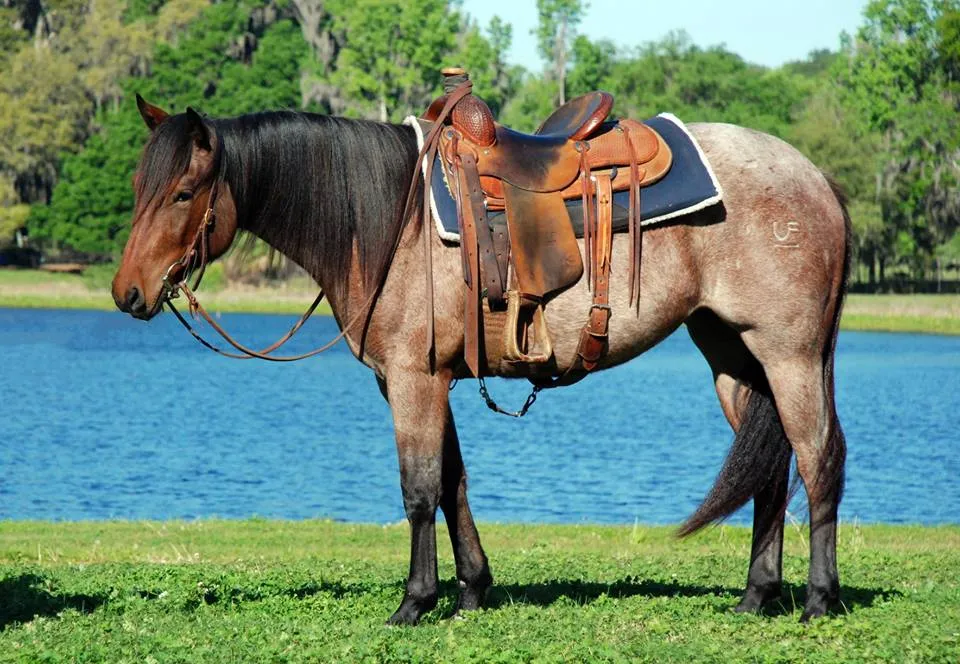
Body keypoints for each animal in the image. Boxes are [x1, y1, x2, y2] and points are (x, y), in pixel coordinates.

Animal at [112, 96, 850, 625]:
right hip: (734, 354)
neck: (391, 223)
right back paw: (756, 596)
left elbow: (418, 488)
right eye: (138, 184)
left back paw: (818, 599)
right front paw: (471, 589)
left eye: (182, 194)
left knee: (817, 458)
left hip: (790, 354)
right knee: (770, 467)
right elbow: (453, 483)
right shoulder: (422, 380)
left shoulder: (414, 379)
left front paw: (414, 602)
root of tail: (815, 177)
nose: (128, 294)